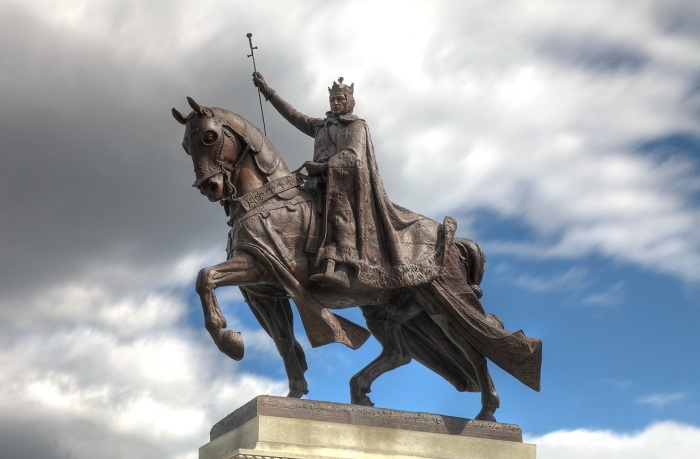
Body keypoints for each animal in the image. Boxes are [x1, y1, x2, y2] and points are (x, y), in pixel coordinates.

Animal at [171, 98, 540, 424]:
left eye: (209, 136)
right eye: (185, 145)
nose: (210, 186)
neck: (266, 199)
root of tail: (453, 241)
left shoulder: (260, 266)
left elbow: (204, 277)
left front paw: (229, 341)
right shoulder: (265, 293)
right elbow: (283, 341)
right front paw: (293, 391)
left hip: (443, 305)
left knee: (477, 345)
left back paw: (488, 411)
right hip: (386, 310)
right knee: (400, 352)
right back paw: (360, 391)